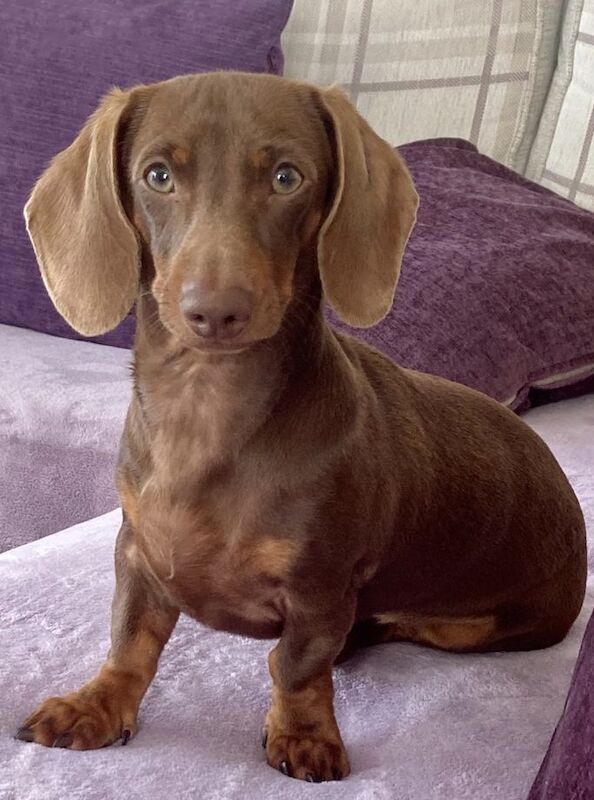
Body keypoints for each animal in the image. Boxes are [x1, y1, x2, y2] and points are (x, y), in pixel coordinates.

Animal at [17, 72, 584, 784]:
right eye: (157, 175)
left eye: (287, 178)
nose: (215, 312)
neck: (206, 411)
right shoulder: (137, 554)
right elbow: (130, 640)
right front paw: (97, 704)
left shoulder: (320, 588)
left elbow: (296, 665)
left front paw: (305, 734)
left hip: (491, 624)